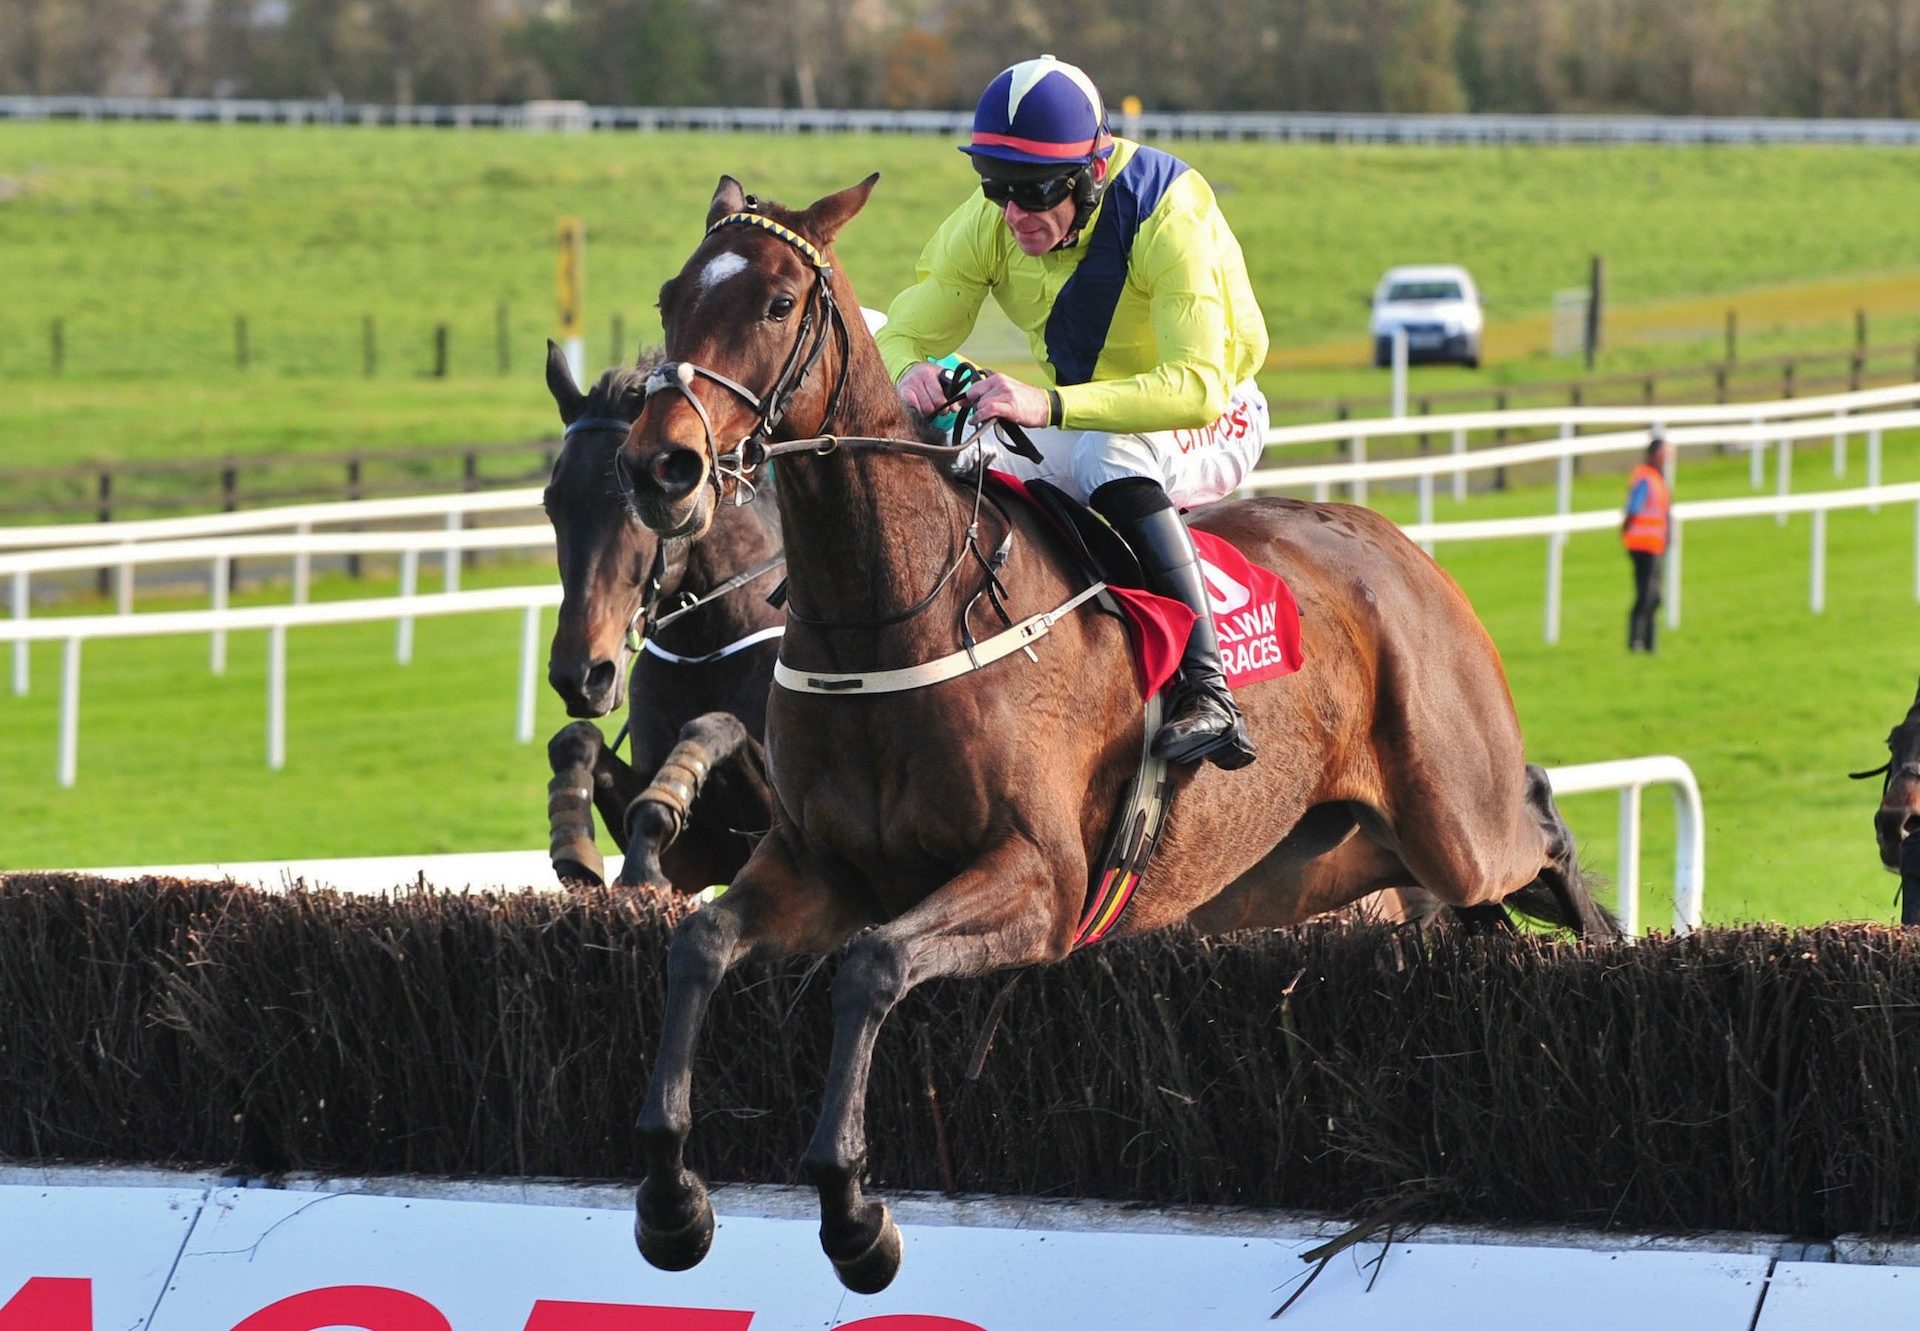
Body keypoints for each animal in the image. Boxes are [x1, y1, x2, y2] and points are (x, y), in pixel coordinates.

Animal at [537, 341, 783, 891]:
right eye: (550, 503)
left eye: (633, 501)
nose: (580, 676)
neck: (705, 647)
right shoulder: (697, 858)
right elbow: (575, 738)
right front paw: (574, 842)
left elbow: (714, 725)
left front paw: (646, 848)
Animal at [618, 173, 1620, 1290]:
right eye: (669, 297)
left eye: (779, 302)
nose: (662, 465)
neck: (897, 609)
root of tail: (1401, 549)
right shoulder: (820, 863)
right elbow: (700, 942)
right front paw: (670, 1195)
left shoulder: (1039, 880)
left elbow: (871, 967)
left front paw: (853, 1207)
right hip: (1306, 865)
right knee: (1479, 909)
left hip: (1456, 821)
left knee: (1540, 830)